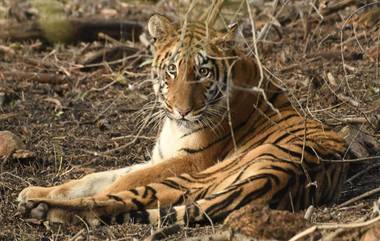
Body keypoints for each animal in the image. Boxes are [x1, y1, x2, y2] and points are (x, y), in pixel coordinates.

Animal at [16, 14, 348, 226]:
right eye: (172, 69)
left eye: (203, 71)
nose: (182, 110)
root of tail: (277, 177)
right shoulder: (160, 156)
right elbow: (91, 178)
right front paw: (35, 190)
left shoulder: (190, 160)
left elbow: (118, 181)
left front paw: (37, 197)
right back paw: (39, 205)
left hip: (199, 177)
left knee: (115, 200)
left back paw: (44, 212)